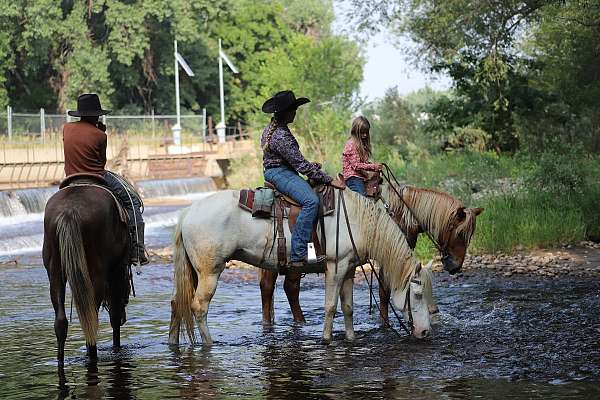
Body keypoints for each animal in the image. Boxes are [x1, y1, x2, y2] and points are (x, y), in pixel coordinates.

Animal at [42, 183, 131, 368]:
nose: (124, 319)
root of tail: (69, 211)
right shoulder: (117, 270)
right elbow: (114, 315)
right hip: (96, 272)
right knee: (91, 318)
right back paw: (92, 355)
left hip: (55, 270)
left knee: (61, 321)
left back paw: (61, 360)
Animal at [166, 189, 434, 346]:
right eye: (417, 294)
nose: (424, 333)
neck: (357, 220)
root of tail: (188, 212)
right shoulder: (335, 267)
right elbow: (331, 306)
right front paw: (326, 339)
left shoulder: (348, 268)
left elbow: (347, 307)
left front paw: (351, 338)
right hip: (210, 271)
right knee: (198, 307)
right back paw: (209, 344)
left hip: (194, 272)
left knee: (177, 302)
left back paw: (172, 343)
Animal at [258, 183, 482, 324]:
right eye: (460, 234)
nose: (455, 266)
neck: (399, 215)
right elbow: (384, 290)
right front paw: (384, 321)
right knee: (281, 288)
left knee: (278, 289)